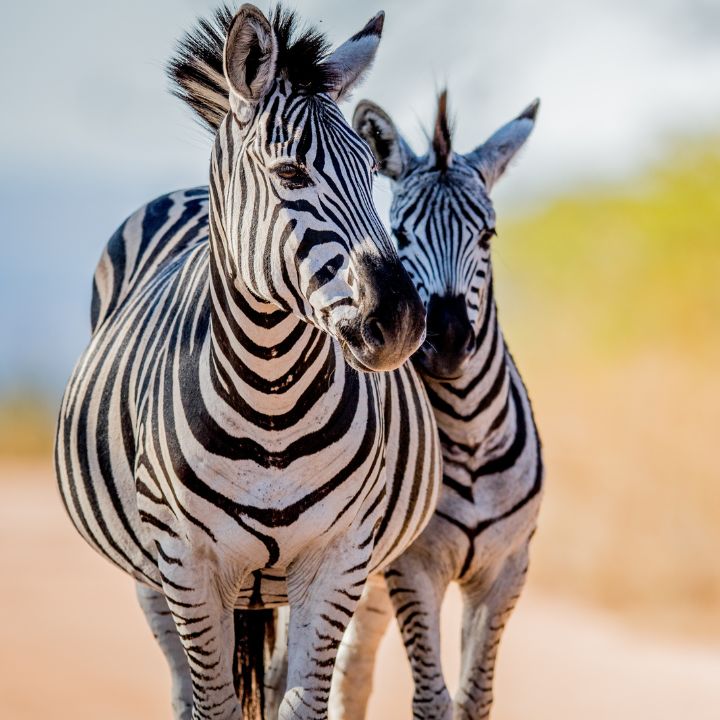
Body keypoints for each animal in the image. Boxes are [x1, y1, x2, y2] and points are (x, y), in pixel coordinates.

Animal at [55, 6, 442, 720]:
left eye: (369, 172)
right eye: (289, 174)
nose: (401, 322)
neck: (272, 403)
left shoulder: (341, 557)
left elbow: (302, 703)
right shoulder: (186, 563)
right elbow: (215, 704)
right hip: (150, 576)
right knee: (183, 689)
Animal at [320, 93, 545, 720]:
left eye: (488, 236)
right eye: (399, 233)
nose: (445, 341)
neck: (467, 433)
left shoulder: (506, 569)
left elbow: (474, 697)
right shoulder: (413, 569)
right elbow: (432, 699)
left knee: (348, 673)